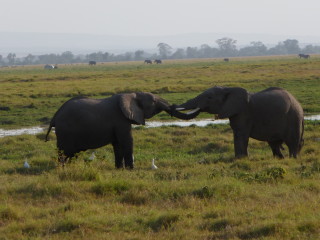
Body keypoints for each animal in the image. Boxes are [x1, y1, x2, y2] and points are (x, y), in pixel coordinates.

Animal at [43, 92, 196, 169]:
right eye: (153, 101)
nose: (174, 106)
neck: (132, 94)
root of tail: (54, 117)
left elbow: (117, 145)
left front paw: (119, 169)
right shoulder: (120, 120)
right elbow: (127, 141)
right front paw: (131, 169)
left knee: (71, 153)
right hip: (65, 132)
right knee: (64, 152)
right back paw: (63, 168)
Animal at [174, 86, 304, 158]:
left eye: (209, 98)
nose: (172, 105)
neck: (228, 89)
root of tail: (299, 105)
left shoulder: (244, 112)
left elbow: (241, 134)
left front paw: (240, 159)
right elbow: (237, 133)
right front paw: (240, 158)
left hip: (293, 118)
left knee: (292, 143)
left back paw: (292, 159)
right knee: (274, 144)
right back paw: (280, 159)